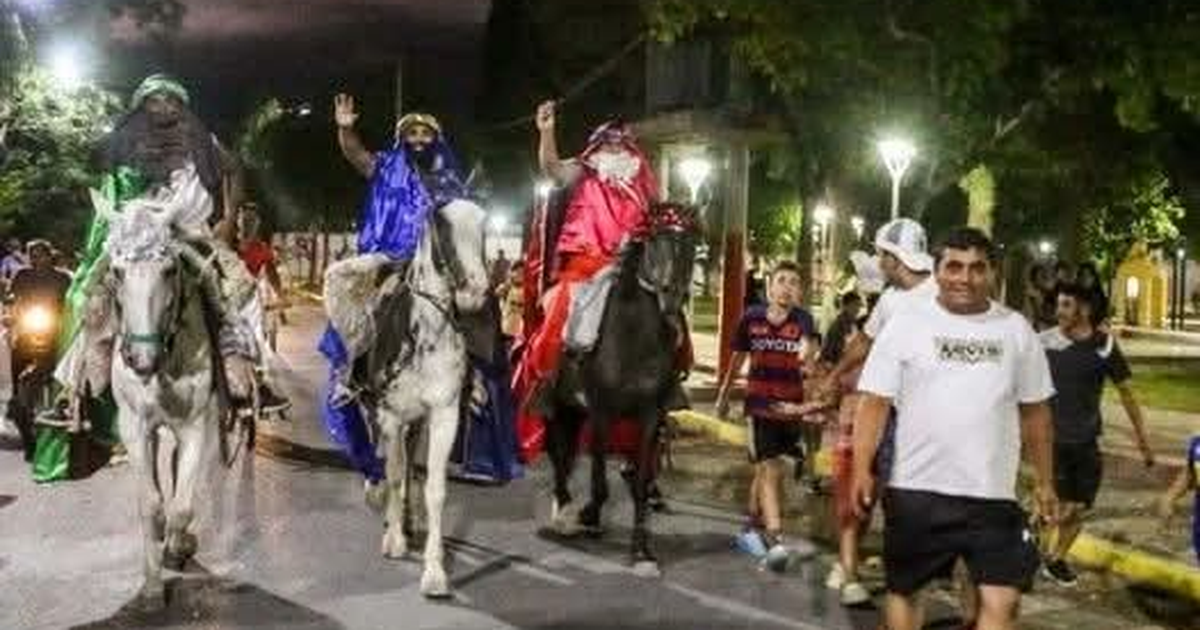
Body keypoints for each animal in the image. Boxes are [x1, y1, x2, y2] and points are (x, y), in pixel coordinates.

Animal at [328, 199, 487, 597]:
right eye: (442, 225)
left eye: (484, 226)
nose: (476, 291)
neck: (426, 333)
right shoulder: (391, 415)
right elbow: (396, 473)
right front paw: (395, 540)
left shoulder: (444, 414)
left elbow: (434, 488)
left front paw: (434, 572)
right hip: (379, 412)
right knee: (383, 458)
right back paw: (381, 503)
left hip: (417, 421)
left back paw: (409, 519)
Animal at [542, 201, 700, 573]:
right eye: (655, 240)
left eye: (691, 244)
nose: (672, 299)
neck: (634, 337)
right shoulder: (602, 411)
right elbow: (600, 480)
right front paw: (588, 516)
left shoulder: (649, 416)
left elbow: (640, 482)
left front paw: (642, 551)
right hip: (557, 401)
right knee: (556, 448)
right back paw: (563, 512)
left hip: (577, 410)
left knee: (567, 449)